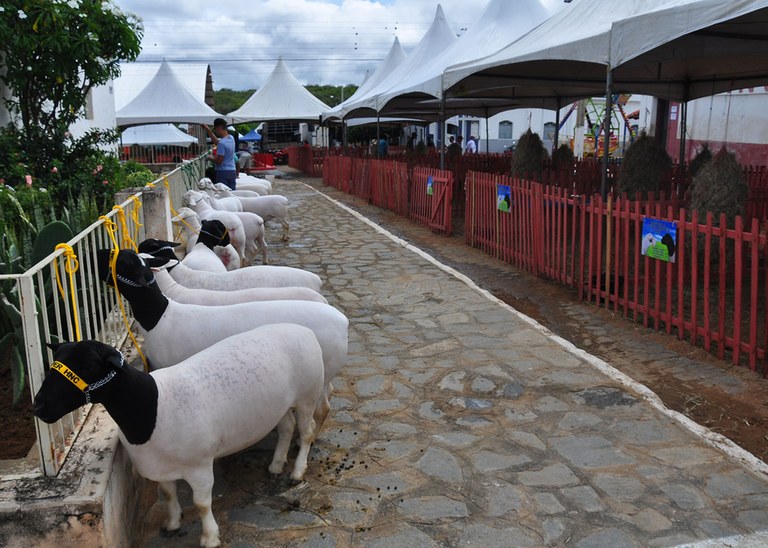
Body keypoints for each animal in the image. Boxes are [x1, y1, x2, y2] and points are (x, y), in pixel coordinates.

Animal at [32, 326, 325, 548]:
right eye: (54, 364)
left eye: (88, 366)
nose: (37, 407)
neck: (150, 407)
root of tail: (305, 330)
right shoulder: (161, 468)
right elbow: (168, 494)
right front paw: (172, 525)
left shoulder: (200, 466)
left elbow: (202, 503)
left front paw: (210, 538)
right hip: (279, 405)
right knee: (286, 428)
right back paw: (276, 465)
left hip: (308, 394)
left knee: (307, 432)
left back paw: (297, 472)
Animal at [97, 248, 347, 425]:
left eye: (122, 261)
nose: (98, 253)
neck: (160, 316)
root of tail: (342, 321)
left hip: (320, 375)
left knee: (320, 409)